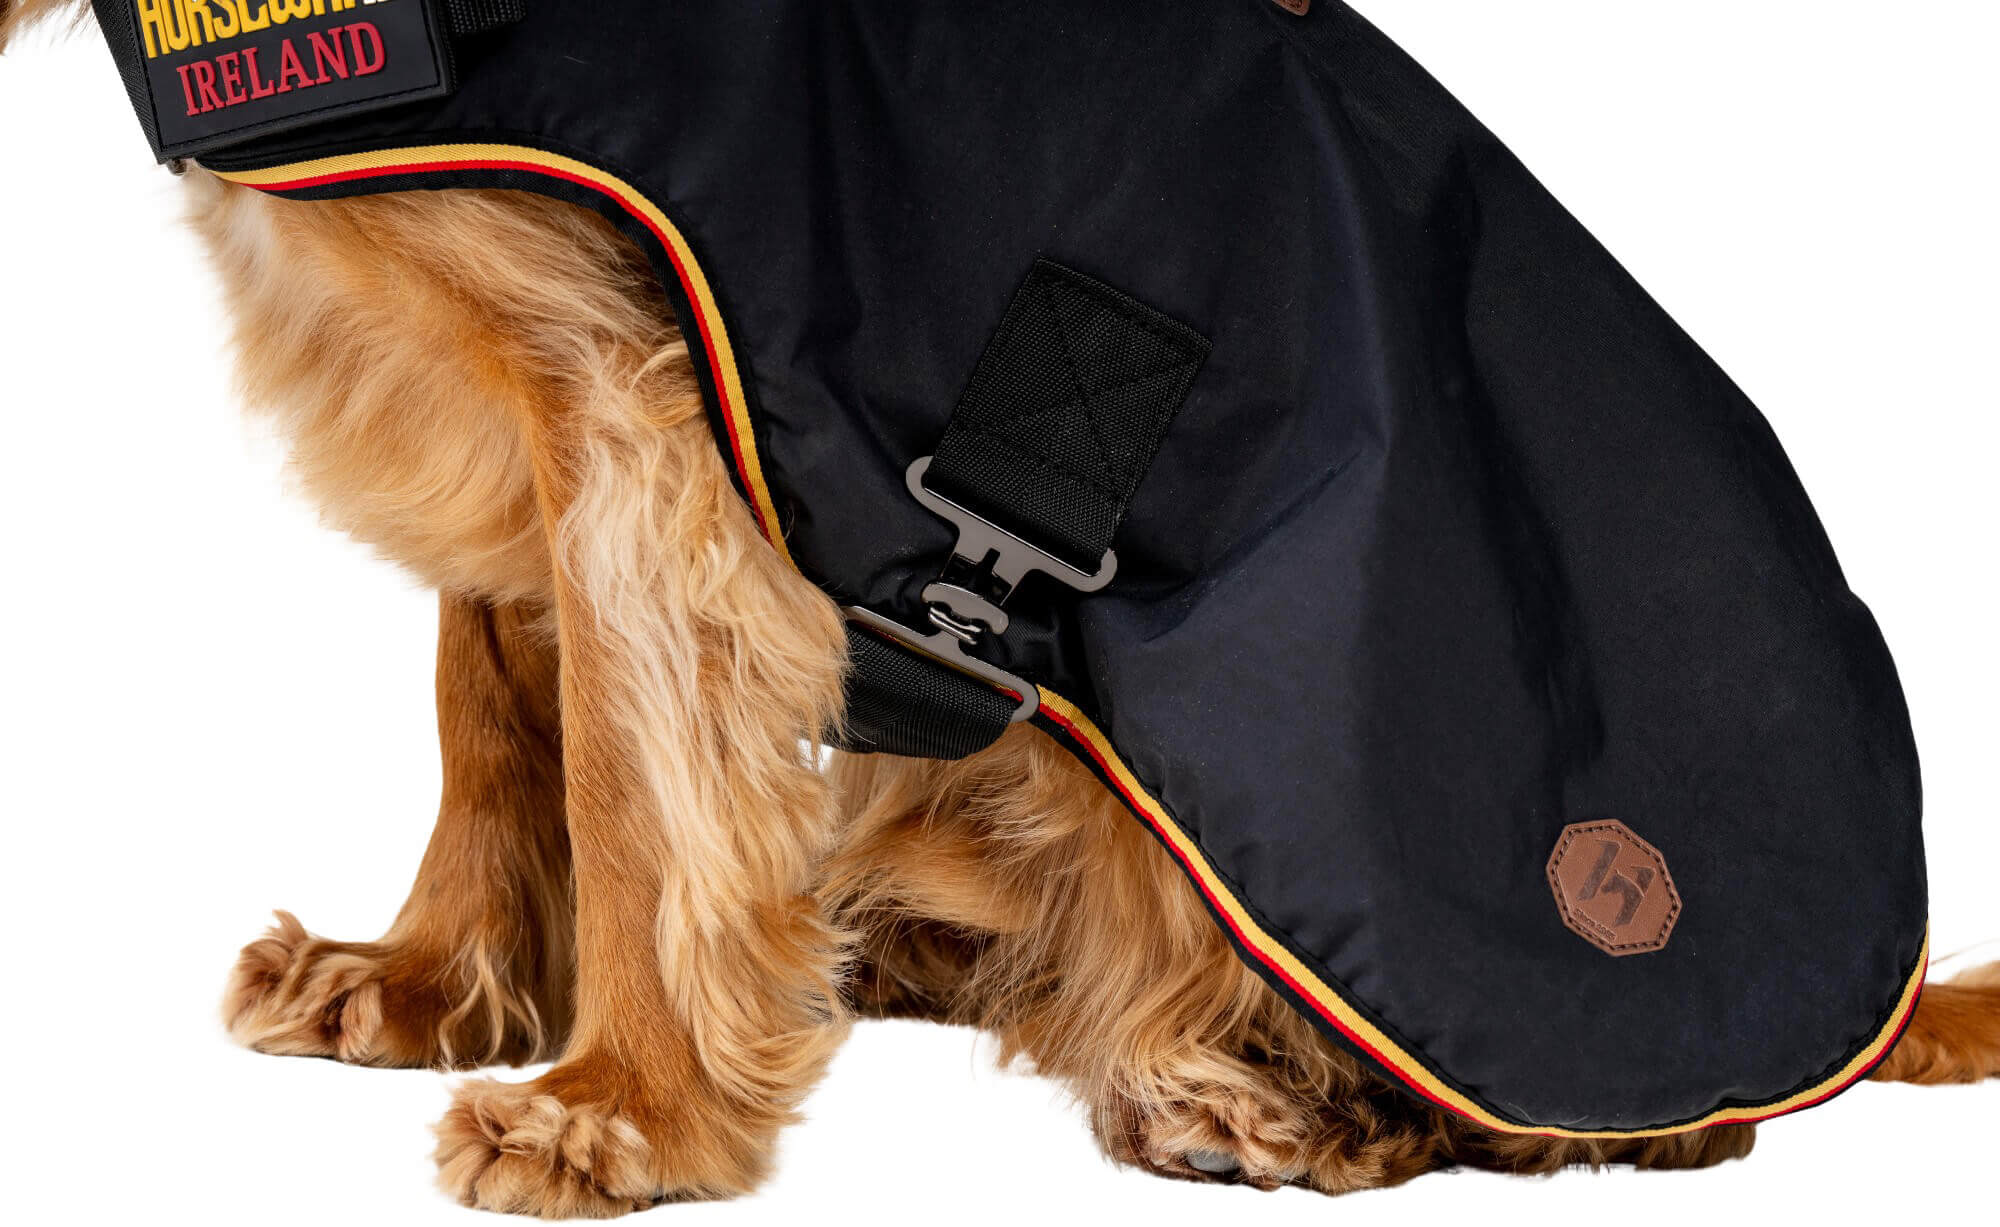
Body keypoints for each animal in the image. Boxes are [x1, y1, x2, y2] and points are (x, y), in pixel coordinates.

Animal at [7, 1, 1998, 1218]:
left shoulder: (629, 401)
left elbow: (627, 785)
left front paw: (624, 1103)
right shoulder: (507, 379)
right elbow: (489, 713)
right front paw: (424, 979)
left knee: (1590, 1119)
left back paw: (1270, 1100)